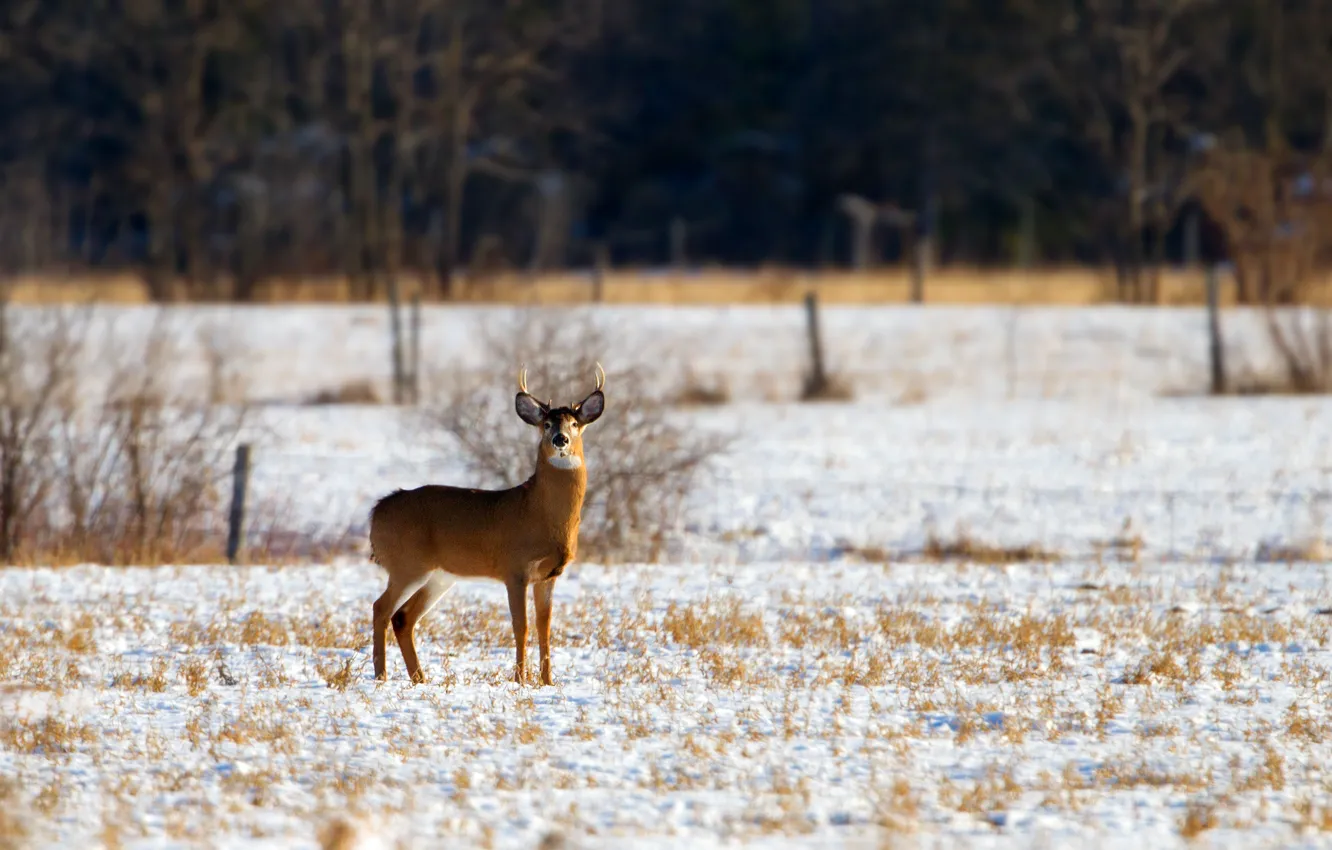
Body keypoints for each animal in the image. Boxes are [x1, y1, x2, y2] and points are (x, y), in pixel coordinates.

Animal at [367, 363, 605, 687]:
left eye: (574, 424)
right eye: (546, 424)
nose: (560, 440)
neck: (539, 513)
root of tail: (376, 513)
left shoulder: (549, 575)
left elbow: (545, 627)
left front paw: (547, 682)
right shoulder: (514, 568)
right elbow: (521, 626)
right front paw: (520, 679)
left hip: (439, 576)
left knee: (403, 617)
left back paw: (420, 679)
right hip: (407, 564)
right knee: (381, 608)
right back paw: (381, 676)